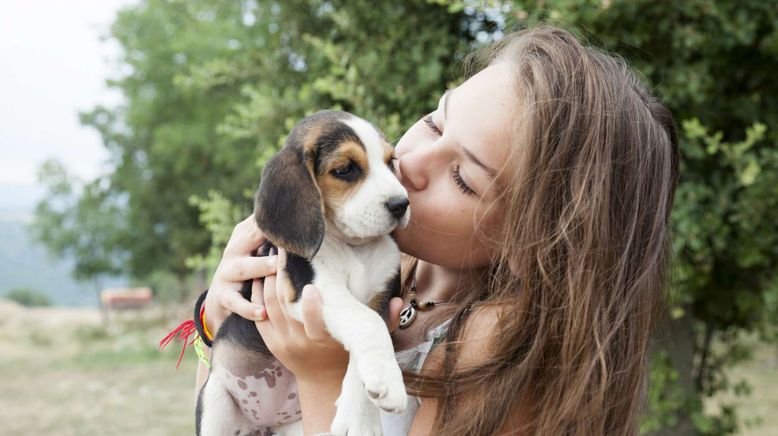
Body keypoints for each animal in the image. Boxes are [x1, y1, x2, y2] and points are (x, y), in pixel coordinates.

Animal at [197, 110, 410, 434]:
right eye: (345, 169)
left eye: (390, 162)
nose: (402, 204)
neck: (353, 247)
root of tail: (266, 423)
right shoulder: (312, 286)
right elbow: (367, 322)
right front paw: (387, 387)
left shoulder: (382, 297)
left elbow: (370, 332)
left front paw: (360, 417)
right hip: (215, 403)